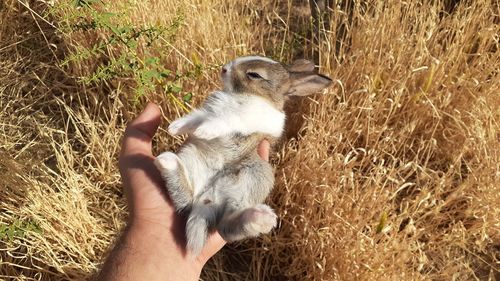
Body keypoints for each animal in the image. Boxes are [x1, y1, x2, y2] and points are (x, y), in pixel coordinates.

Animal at [154, 55, 330, 255]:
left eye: (254, 75)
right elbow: (195, 118)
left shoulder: (242, 120)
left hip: (255, 177)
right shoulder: (207, 111)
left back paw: (260, 218)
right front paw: (175, 127)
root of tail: (205, 199)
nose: (224, 69)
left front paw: (204, 131)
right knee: (186, 199)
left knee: (226, 226)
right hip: (193, 160)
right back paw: (166, 161)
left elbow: (223, 121)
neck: (248, 95)